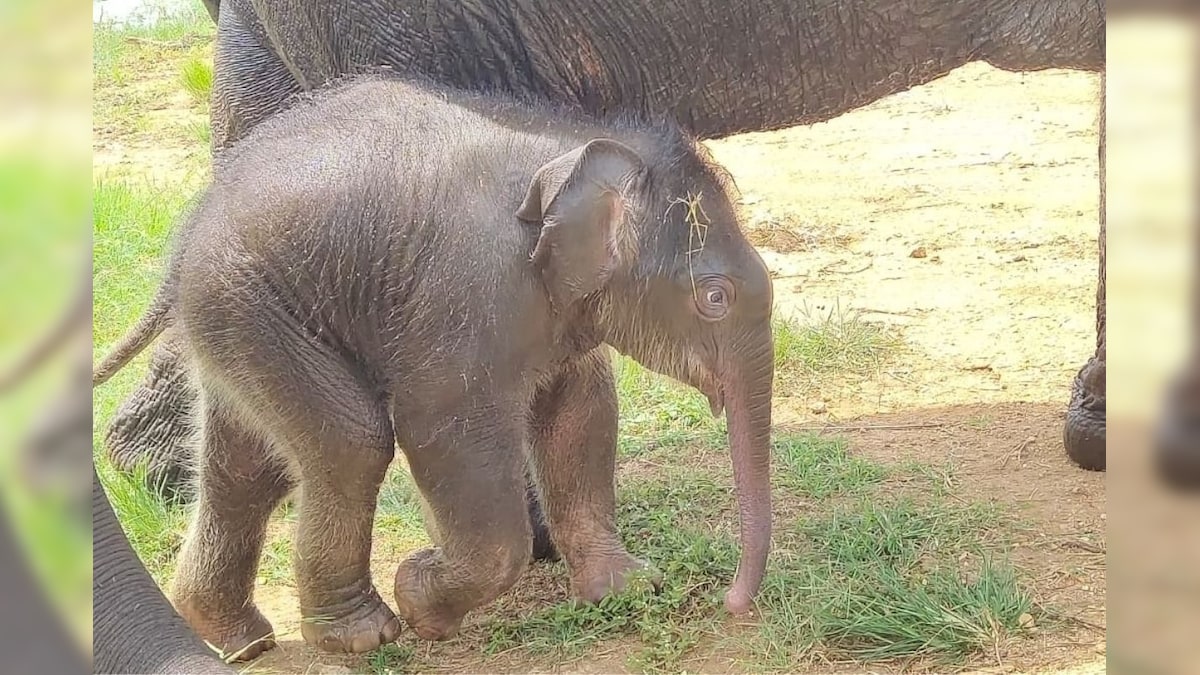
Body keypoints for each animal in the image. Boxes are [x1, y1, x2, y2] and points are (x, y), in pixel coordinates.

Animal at [88, 73, 772, 658]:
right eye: (714, 297)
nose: (732, 603)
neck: (569, 148)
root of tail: (187, 235)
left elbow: (581, 414)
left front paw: (629, 588)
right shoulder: (468, 293)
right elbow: (441, 427)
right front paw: (420, 598)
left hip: (239, 325)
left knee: (251, 468)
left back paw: (239, 640)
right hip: (253, 306)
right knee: (351, 444)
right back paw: (360, 637)